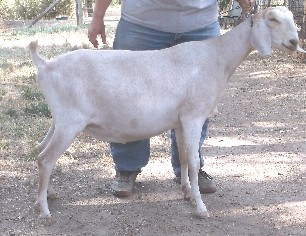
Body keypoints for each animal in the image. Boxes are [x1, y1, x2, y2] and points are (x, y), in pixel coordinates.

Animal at [29, 6, 302, 220]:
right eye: (273, 19)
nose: (294, 43)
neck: (217, 57)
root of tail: (45, 65)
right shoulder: (193, 116)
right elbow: (194, 160)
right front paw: (200, 207)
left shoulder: (180, 122)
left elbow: (183, 158)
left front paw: (187, 192)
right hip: (70, 122)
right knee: (46, 158)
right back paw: (43, 210)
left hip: (59, 120)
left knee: (41, 151)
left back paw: (49, 194)